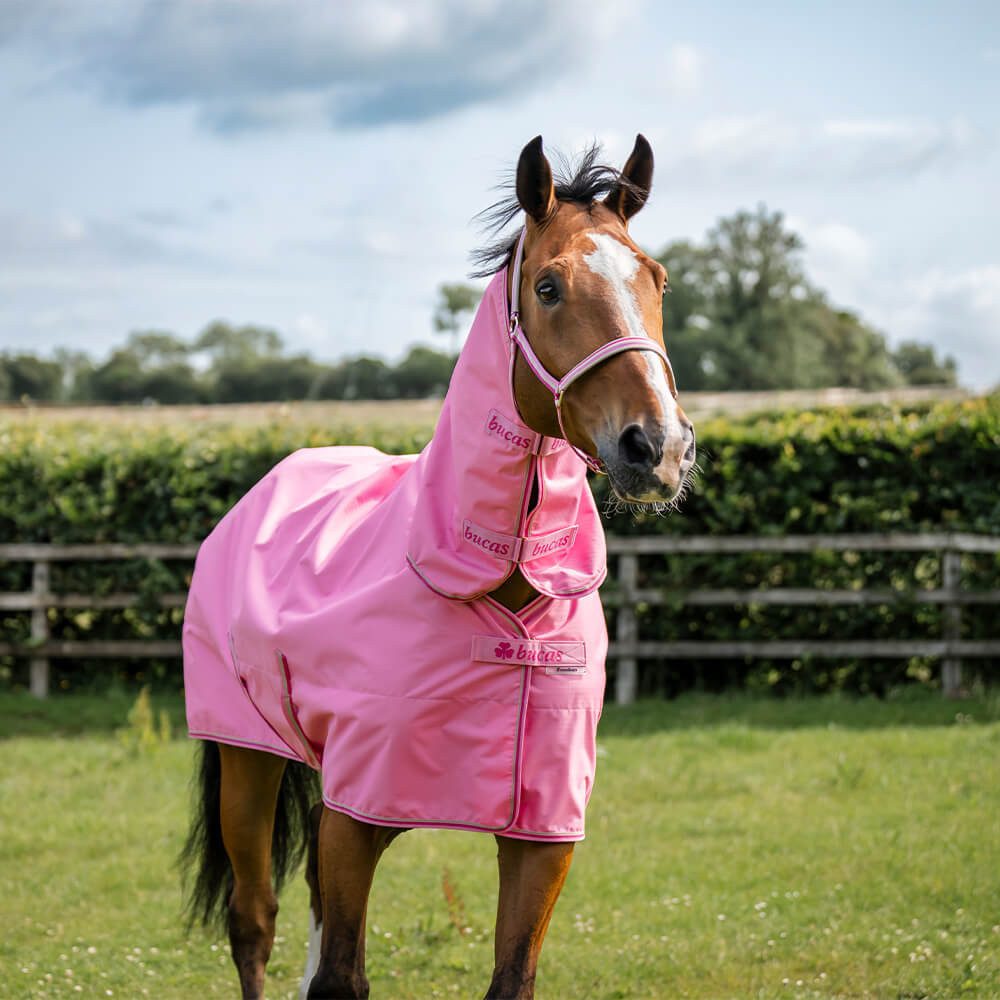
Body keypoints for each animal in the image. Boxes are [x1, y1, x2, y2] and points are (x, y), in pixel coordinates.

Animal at [179, 133, 696, 1000]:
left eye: (655, 279)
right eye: (549, 287)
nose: (656, 446)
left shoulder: (539, 835)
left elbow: (507, 978)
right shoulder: (355, 817)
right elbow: (339, 979)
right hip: (250, 765)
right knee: (253, 921)